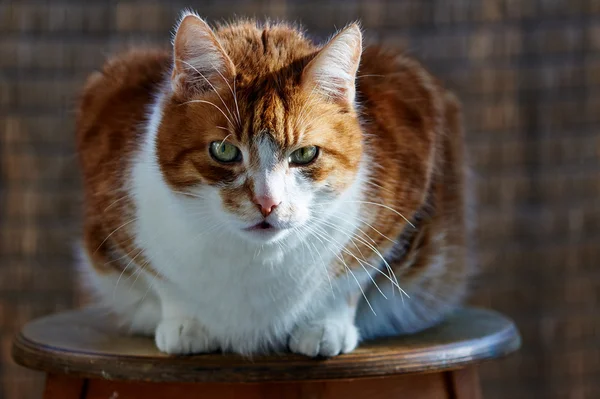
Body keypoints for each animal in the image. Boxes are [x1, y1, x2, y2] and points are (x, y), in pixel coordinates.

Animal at [76, 10, 468, 358]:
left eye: (305, 153)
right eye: (224, 150)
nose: (267, 202)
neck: (257, 259)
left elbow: (352, 277)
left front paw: (325, 324)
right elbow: (163, 281)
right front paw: (186, 323)